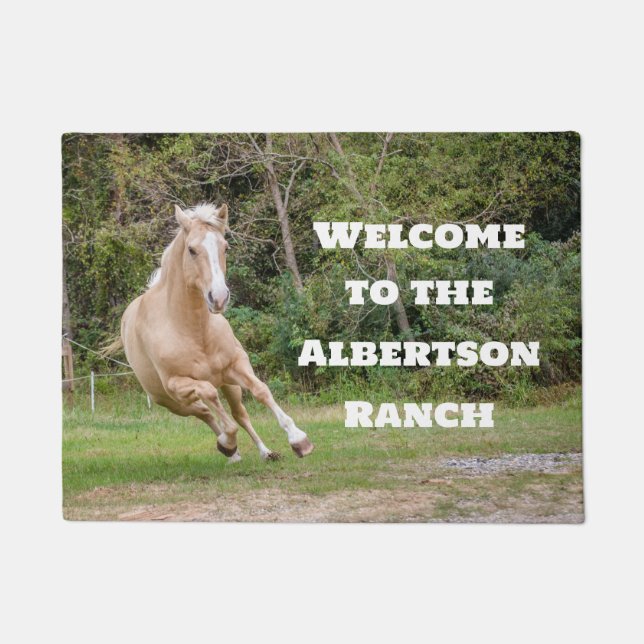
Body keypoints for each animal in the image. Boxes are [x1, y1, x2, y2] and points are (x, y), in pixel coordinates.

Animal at [118, 202, 314, 462]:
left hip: (227, 385)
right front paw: (227, 442)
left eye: (225, 247)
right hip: (173, 402)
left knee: (238, 414)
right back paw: (230, 450)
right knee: (204, 412)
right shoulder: (178, 384)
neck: (194, 331)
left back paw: (264, 452)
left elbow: (261, 391)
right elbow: (213, 399)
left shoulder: (236, 365)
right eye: (191, 250)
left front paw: (298, 439)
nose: (219, 297)